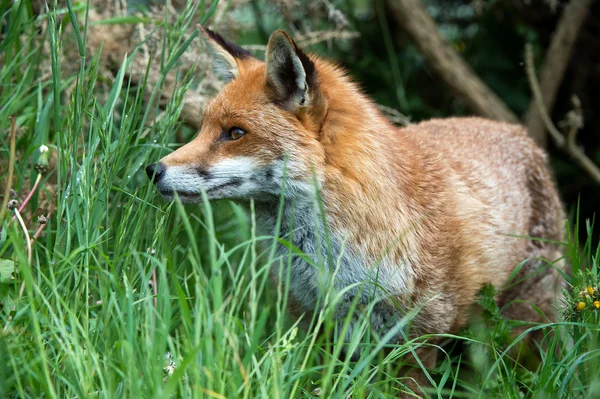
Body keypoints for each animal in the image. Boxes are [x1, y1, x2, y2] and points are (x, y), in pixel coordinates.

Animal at [145, 25, 564, 396]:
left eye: (235, 133)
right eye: (203, 128)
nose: (153, 170)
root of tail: (520, 134)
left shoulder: (418, 338)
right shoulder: (315, 325)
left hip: (520, 329)